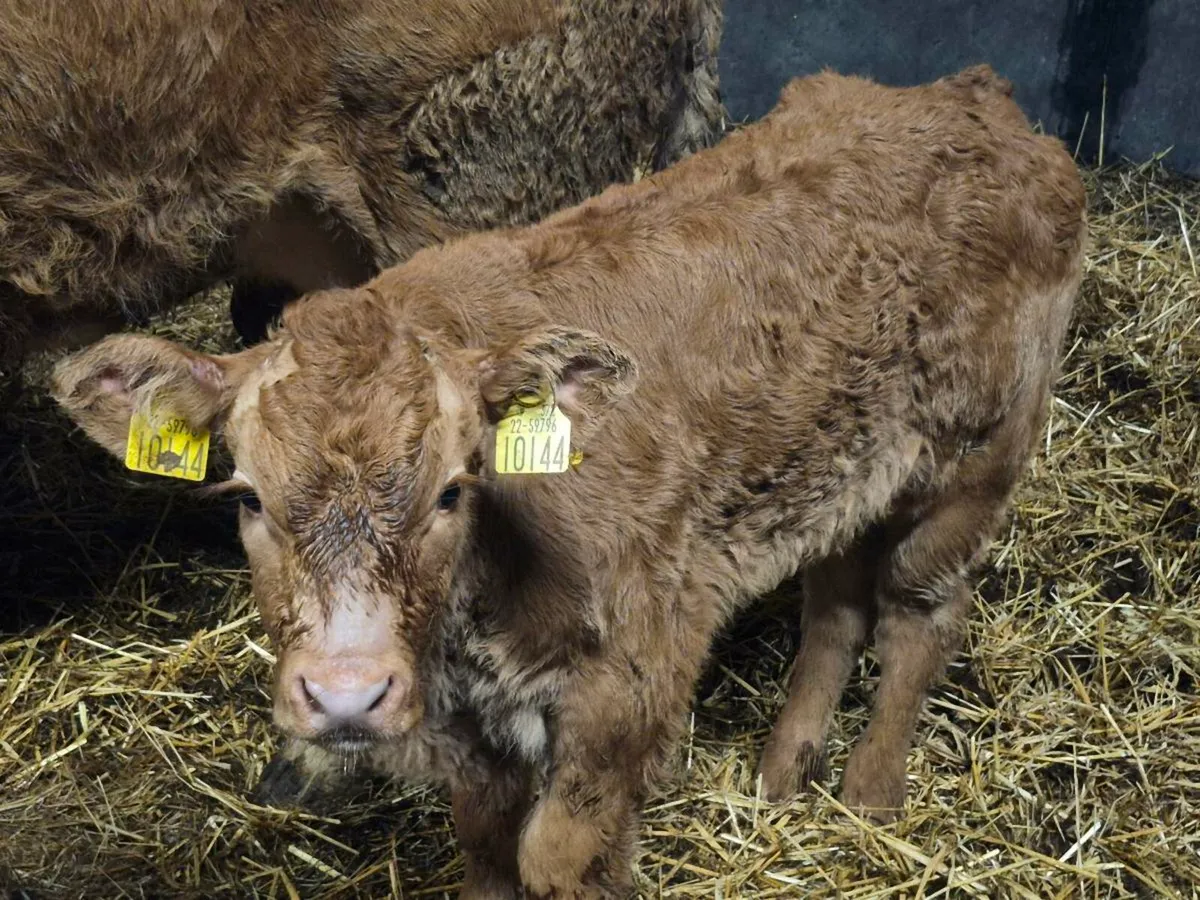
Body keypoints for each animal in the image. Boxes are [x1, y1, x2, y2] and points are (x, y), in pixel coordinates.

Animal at [52, 65, 1087, 898]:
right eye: (250, 498)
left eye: (453, 489)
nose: (346, 696)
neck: (473, 616)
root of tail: (973, 98)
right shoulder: (475, 733)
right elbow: (486, 854)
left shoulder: (631, 678)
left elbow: (557, 855)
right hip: (840, 468)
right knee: (835, 602)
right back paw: (784, 769)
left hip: (978, 458)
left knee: (920, 612)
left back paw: (870, 792)